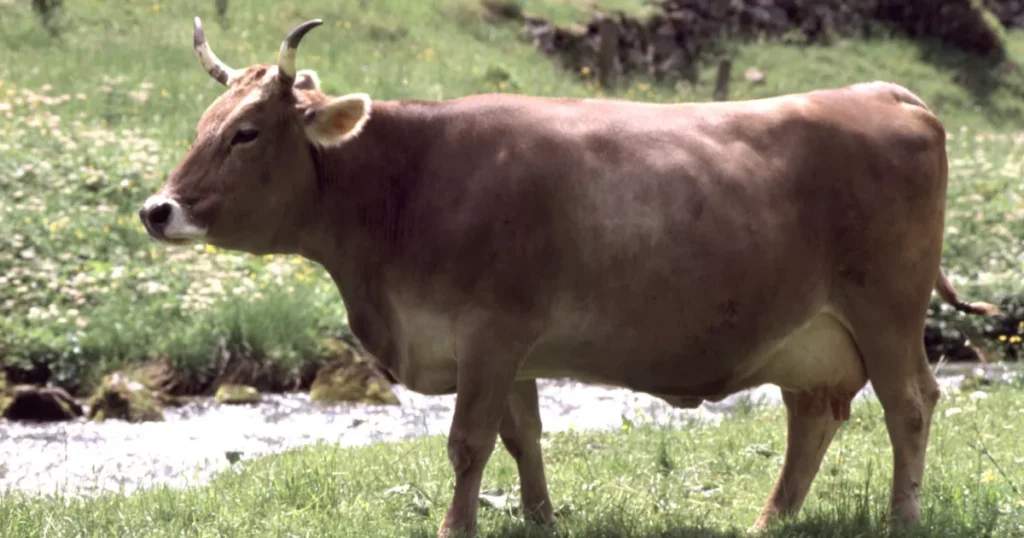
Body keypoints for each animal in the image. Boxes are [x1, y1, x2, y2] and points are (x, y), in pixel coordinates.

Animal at [140, 17, 995, 536]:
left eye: (247, 133)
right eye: (201, 127)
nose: (157, 209)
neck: (408, 183)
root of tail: (884, 91)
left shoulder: (492, 330)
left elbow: (468, 443)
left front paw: (456, 526)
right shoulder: (510, 348)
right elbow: (522, 438)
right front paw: (541, 519)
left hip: (887, 311)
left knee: (909, 404)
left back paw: (901, 519)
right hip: (813, 333)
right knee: (814, 414)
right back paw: (769, 520)